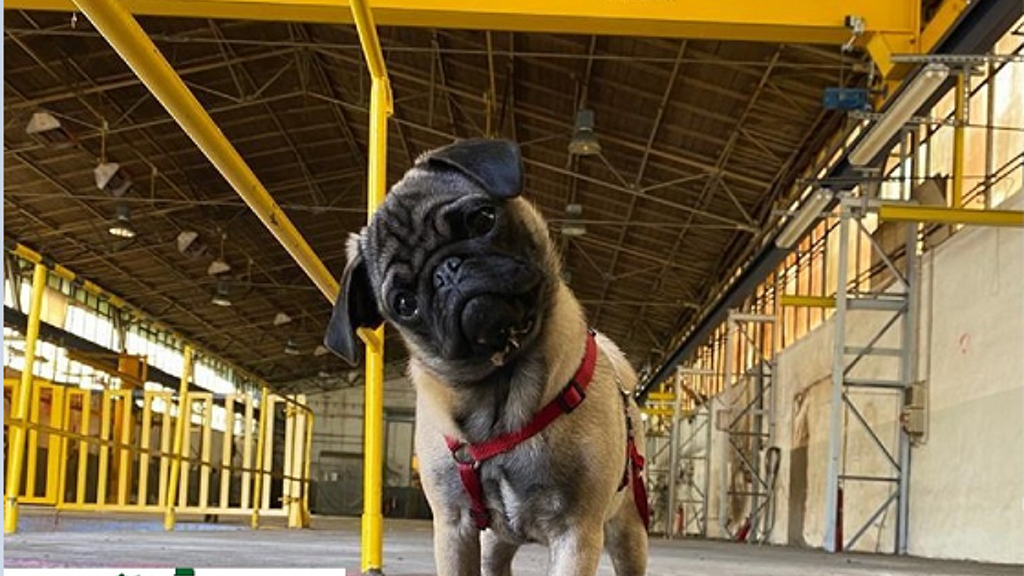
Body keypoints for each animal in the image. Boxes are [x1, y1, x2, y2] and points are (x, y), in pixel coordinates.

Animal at [325, 138, 649, 576]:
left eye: (482, 220)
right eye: (404, 303)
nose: (447, 271)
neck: (501, 387)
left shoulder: (577, 532)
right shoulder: (454, 528)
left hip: (626, 531)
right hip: (496, 540)